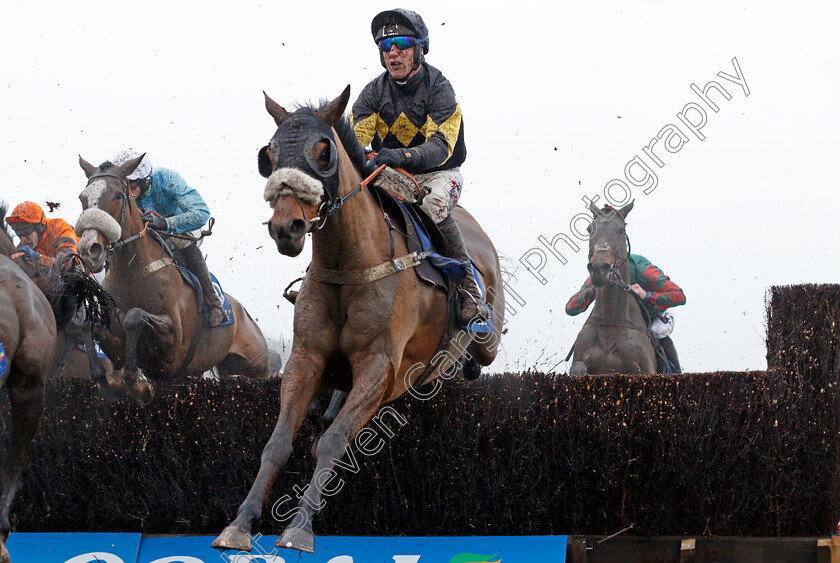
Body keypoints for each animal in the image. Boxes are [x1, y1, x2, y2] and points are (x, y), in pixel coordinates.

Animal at [76, 156, 270, 404]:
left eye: (118, 195)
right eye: (82, 197)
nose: (89, 249)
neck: (133, 274)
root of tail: (246, 315)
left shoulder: (173, 346)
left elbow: (135, 316)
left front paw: (137, 384)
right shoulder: (118, 348)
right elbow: (88, 326)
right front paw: (109, 383)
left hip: (256, 369)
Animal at [213, 88, 506, 556]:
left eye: (323, 152)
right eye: (269, 154)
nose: (286, 227)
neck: (350, 265)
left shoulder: (380, 368)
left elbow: (333, 442)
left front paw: (298, 530)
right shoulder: (306, 359)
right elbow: (278, 443)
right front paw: (240, 524)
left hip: (481, 326)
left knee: (482, 346)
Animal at [568, 202, 660, 374]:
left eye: (621, 230)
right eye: (589, 229)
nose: (599, 269)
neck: (610, 321)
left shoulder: (645, 369)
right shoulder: (580, 359)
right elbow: (579, 367)